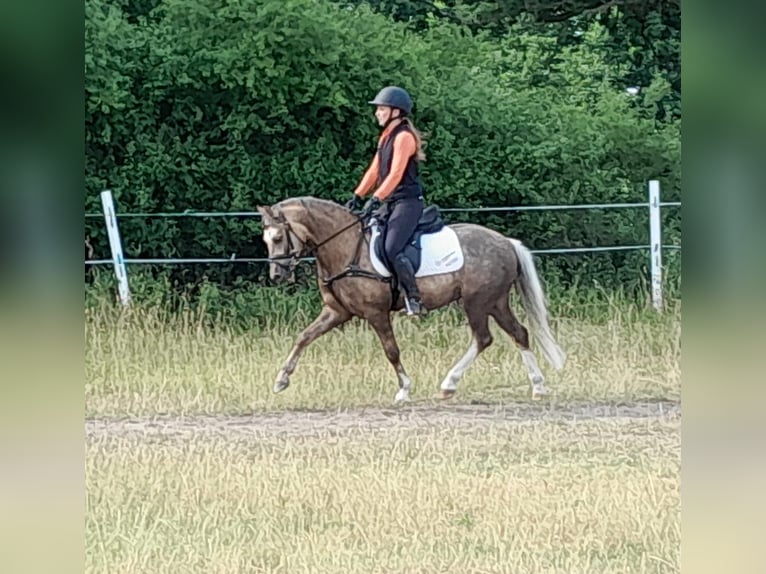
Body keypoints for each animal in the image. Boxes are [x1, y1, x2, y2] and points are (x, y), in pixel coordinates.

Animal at [257, 196, 565, 403]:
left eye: (278, 237)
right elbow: (304, 337)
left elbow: (391, 350)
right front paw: (281, 380)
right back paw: (538, 386)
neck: (345, 247)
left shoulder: (376, 313)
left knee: (483, 338)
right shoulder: (337, 311)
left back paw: (449, 383)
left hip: (477, 302)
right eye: (266, 240)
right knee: (518, 333)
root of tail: (505, 242)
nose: (277, 275)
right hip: (496, 302)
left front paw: (404, 389)